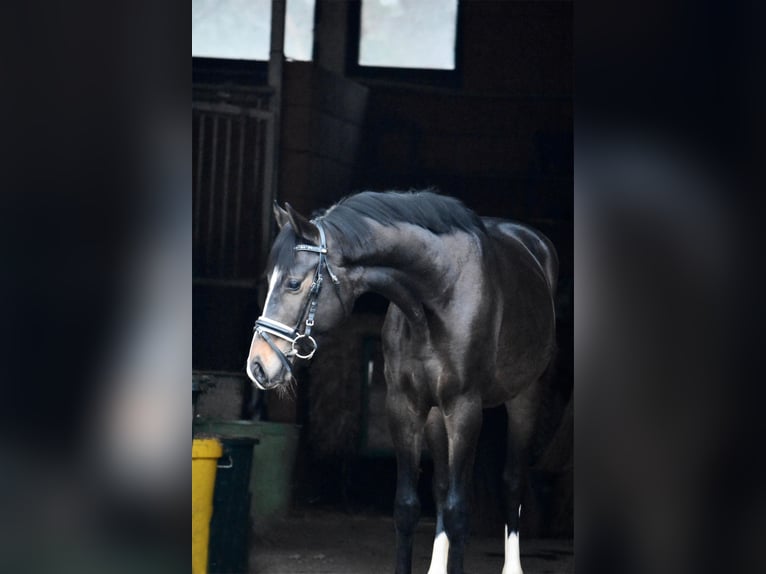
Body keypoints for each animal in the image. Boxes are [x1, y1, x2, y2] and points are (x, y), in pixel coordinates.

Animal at [248, 191, 560, 572]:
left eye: (293, 283)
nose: (257, 366)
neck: (437, 296)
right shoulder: (406, 406)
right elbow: (408, 507)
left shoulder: (464, 407)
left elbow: (459, 511)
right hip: (436, 415)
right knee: (441, 487)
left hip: (524, 398)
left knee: (512, 481)